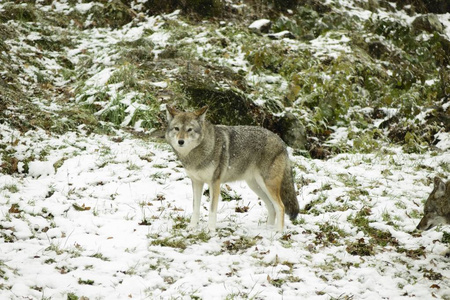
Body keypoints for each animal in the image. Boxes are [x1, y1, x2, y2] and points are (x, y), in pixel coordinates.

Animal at [165, 105, 298, 232]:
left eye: (189, 129)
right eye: (176, 128)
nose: (180, 141)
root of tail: (282, 142)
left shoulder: (215, 183)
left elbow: (212, 210)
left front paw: (210, 230)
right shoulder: (196, 182)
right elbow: (195, 208)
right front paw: (192, 227)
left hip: (267, 185)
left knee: (280, 206)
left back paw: (277, 233)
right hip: (256, 186)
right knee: (271, 207)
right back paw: (267, 230)